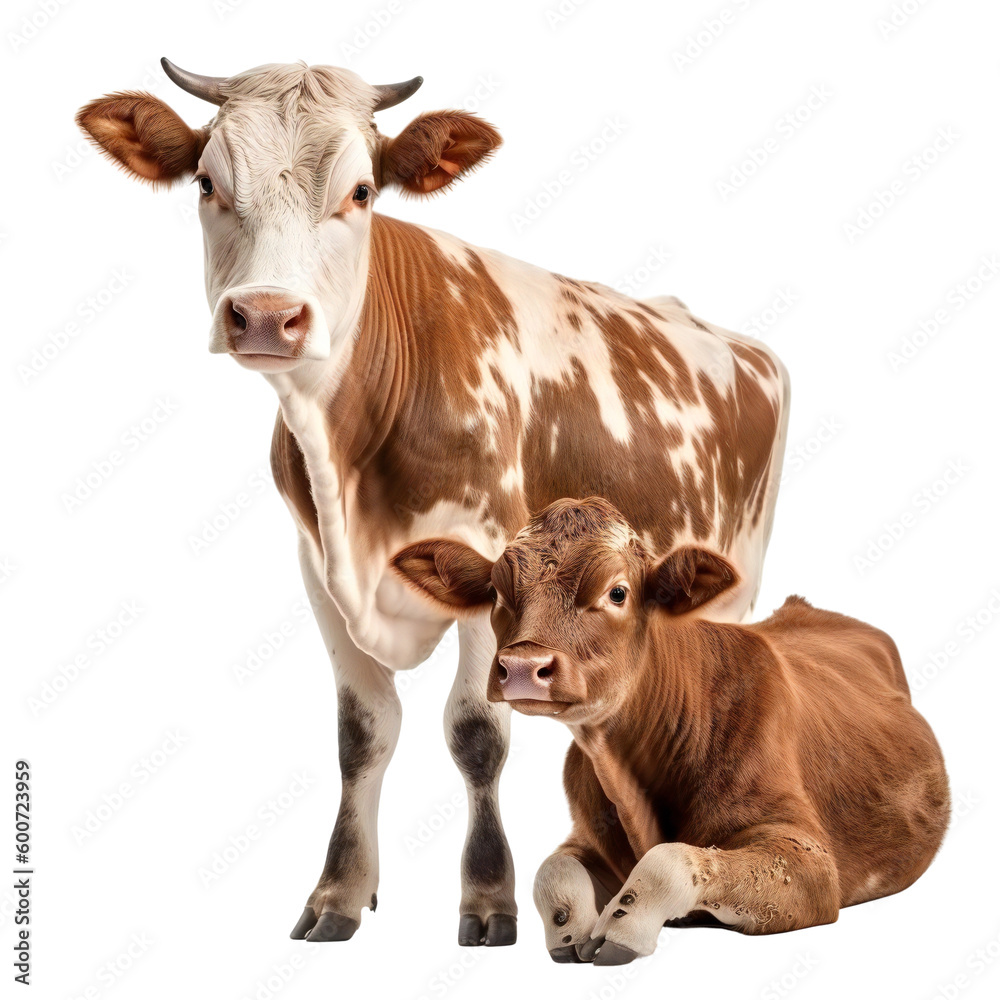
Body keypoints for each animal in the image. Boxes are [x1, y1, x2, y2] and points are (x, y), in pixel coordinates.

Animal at [76, 60, 791, 947]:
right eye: (207, 182)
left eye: (361, 192)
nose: (268, 317)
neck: (350, 465)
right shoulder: (317, 568)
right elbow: (361, 734)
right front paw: (341, 891)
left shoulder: (492, 559)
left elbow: (477, 733)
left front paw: (488, 898)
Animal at [391, 497, 950, 964]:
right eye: (498, 594)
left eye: (618, 592)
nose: (523, 666)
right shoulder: (585, 834)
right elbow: (550, 871)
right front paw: (570, 931)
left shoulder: (808, 855)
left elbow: (670, 860)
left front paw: (623, 924)